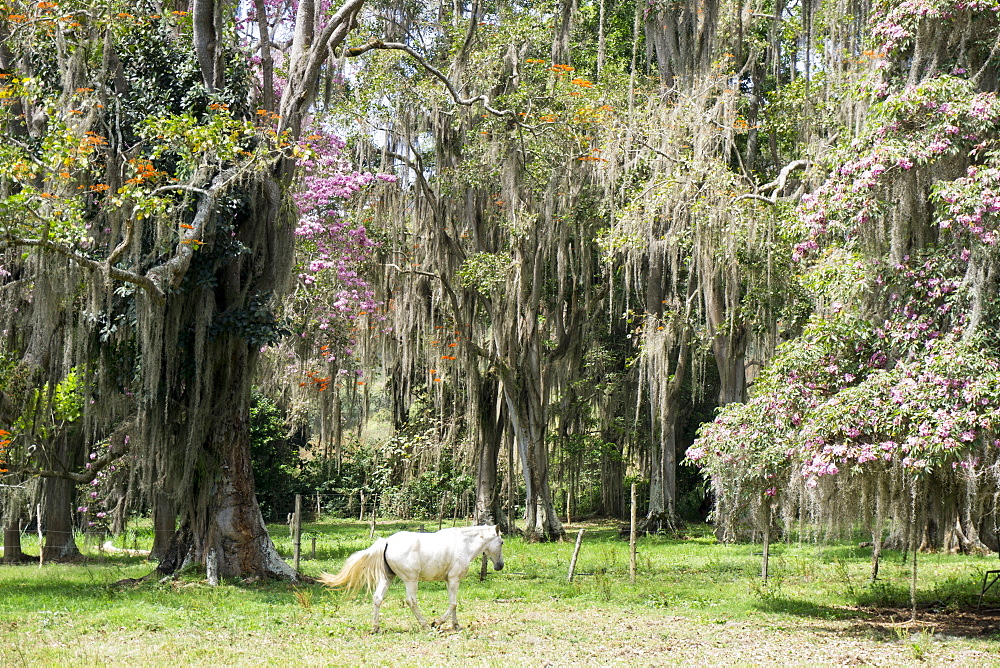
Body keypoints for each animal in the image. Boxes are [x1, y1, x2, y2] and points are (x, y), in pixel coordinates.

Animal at [320, 528, 504, 632]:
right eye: (501, 542)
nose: (500, 565)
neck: (463, 545)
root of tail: (387, 541)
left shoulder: (450, 581)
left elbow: (454, 604)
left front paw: (456, 625)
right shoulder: (453, 579)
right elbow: (453, 604)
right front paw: (437, 622)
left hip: (388, 578)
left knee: (378, 598)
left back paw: (376, 627)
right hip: (411, 580)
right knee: (411, 601)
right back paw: (425, 625)